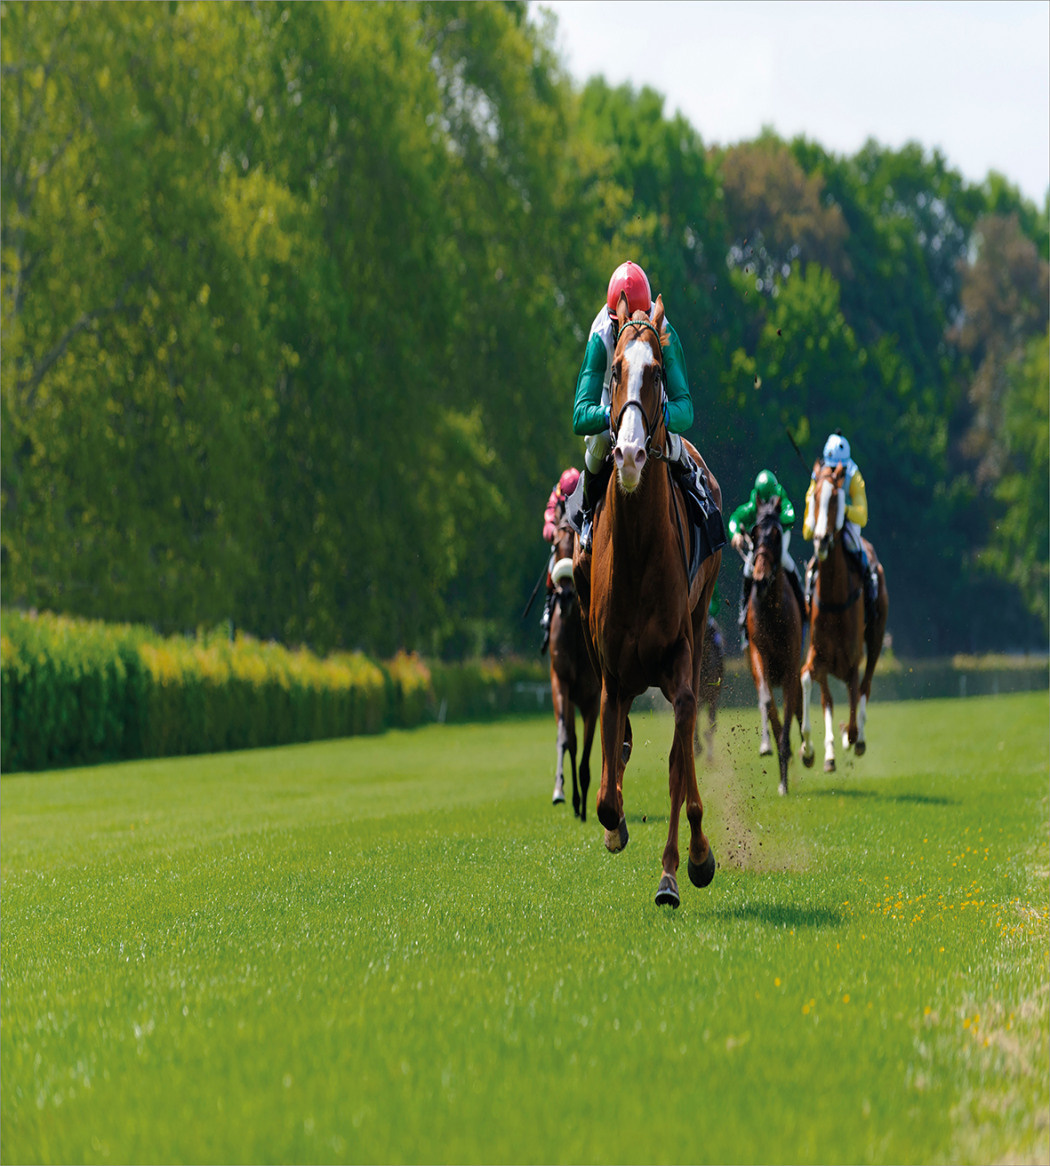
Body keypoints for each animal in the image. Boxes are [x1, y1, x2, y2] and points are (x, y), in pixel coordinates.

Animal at [797, 459, 890, 769]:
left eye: (837, 499)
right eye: (814, 498)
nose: (822, 540)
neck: (834, 600)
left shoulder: (851, 661)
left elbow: (854, 697)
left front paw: (851, 737)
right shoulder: (818, 655)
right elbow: (808, 681)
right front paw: (811, 750)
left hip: (876, 637)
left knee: (865, 686)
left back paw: (856, 739)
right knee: (832, 697)